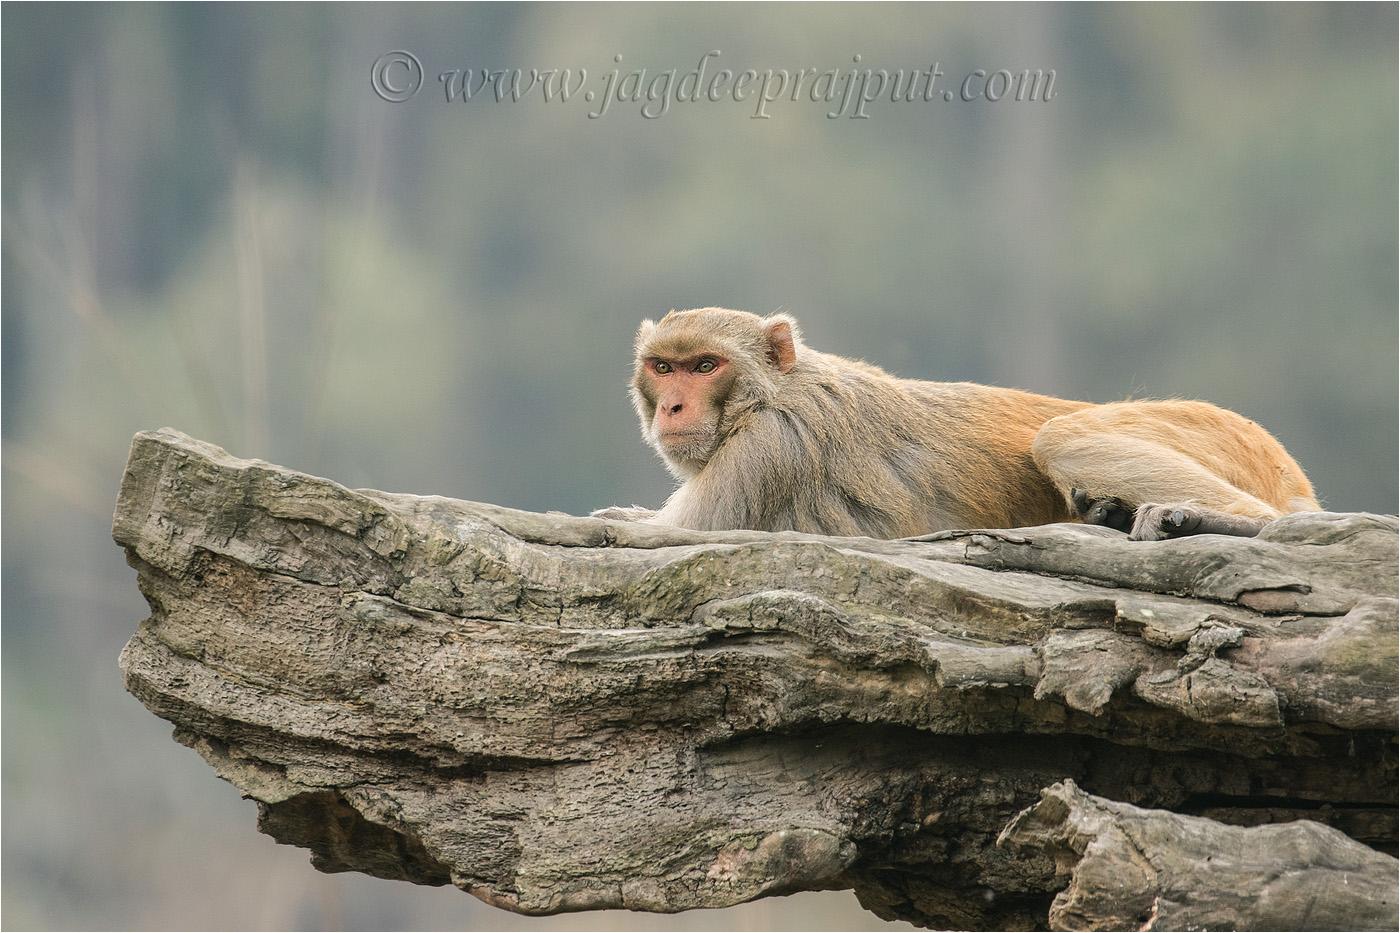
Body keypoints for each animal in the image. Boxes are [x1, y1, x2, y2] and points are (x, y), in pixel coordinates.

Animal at [591, 308, 1319, 541]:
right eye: (663, 367)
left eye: (705, 366)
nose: (673, 406)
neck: (771, 393)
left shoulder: (768, 453)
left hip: (1218, 433)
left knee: (1062, 436)